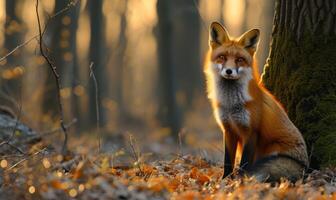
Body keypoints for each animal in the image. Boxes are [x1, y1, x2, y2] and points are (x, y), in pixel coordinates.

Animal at [203, 22, 308, 183]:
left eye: (239, 59)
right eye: (222, 57)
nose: (229, 71)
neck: (231, 105)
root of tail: (304, 166)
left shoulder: (251, 131)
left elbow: (244, 163)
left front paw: (241, 180)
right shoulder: (229, 130)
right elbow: (228, 161)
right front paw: (225, 179)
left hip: (270, 149)